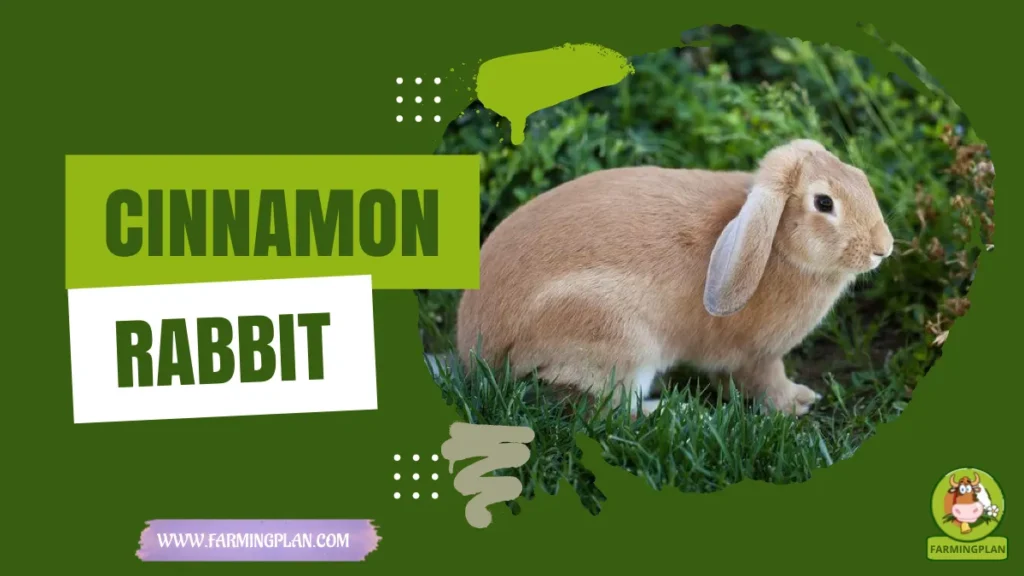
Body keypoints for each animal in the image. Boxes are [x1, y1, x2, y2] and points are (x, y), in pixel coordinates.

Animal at [456, 139, 894, 417]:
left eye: (858, 175)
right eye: (824, 203)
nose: (883, 248)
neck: (775, 244)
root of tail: (477, 350)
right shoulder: (759, 356)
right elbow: (768, 382)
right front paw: (798, 403)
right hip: (620, 346)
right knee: (614, 413)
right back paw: (676, 408)